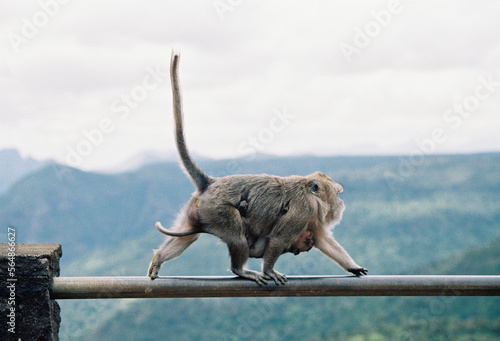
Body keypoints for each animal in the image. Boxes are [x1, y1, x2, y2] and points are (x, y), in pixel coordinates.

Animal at [148, 51, 368, 284]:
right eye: (337, 193)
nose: (341, 202)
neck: (310, 195)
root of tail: (210, 183)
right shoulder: (303, 209)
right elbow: (278, 238)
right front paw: (269, 271)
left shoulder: (312, 219)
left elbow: (324, 241)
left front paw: (353, 267)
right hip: (219, 210)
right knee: (236, 234)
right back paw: (240, 269)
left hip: (198, 210)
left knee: (188, 235)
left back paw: (158, 259)